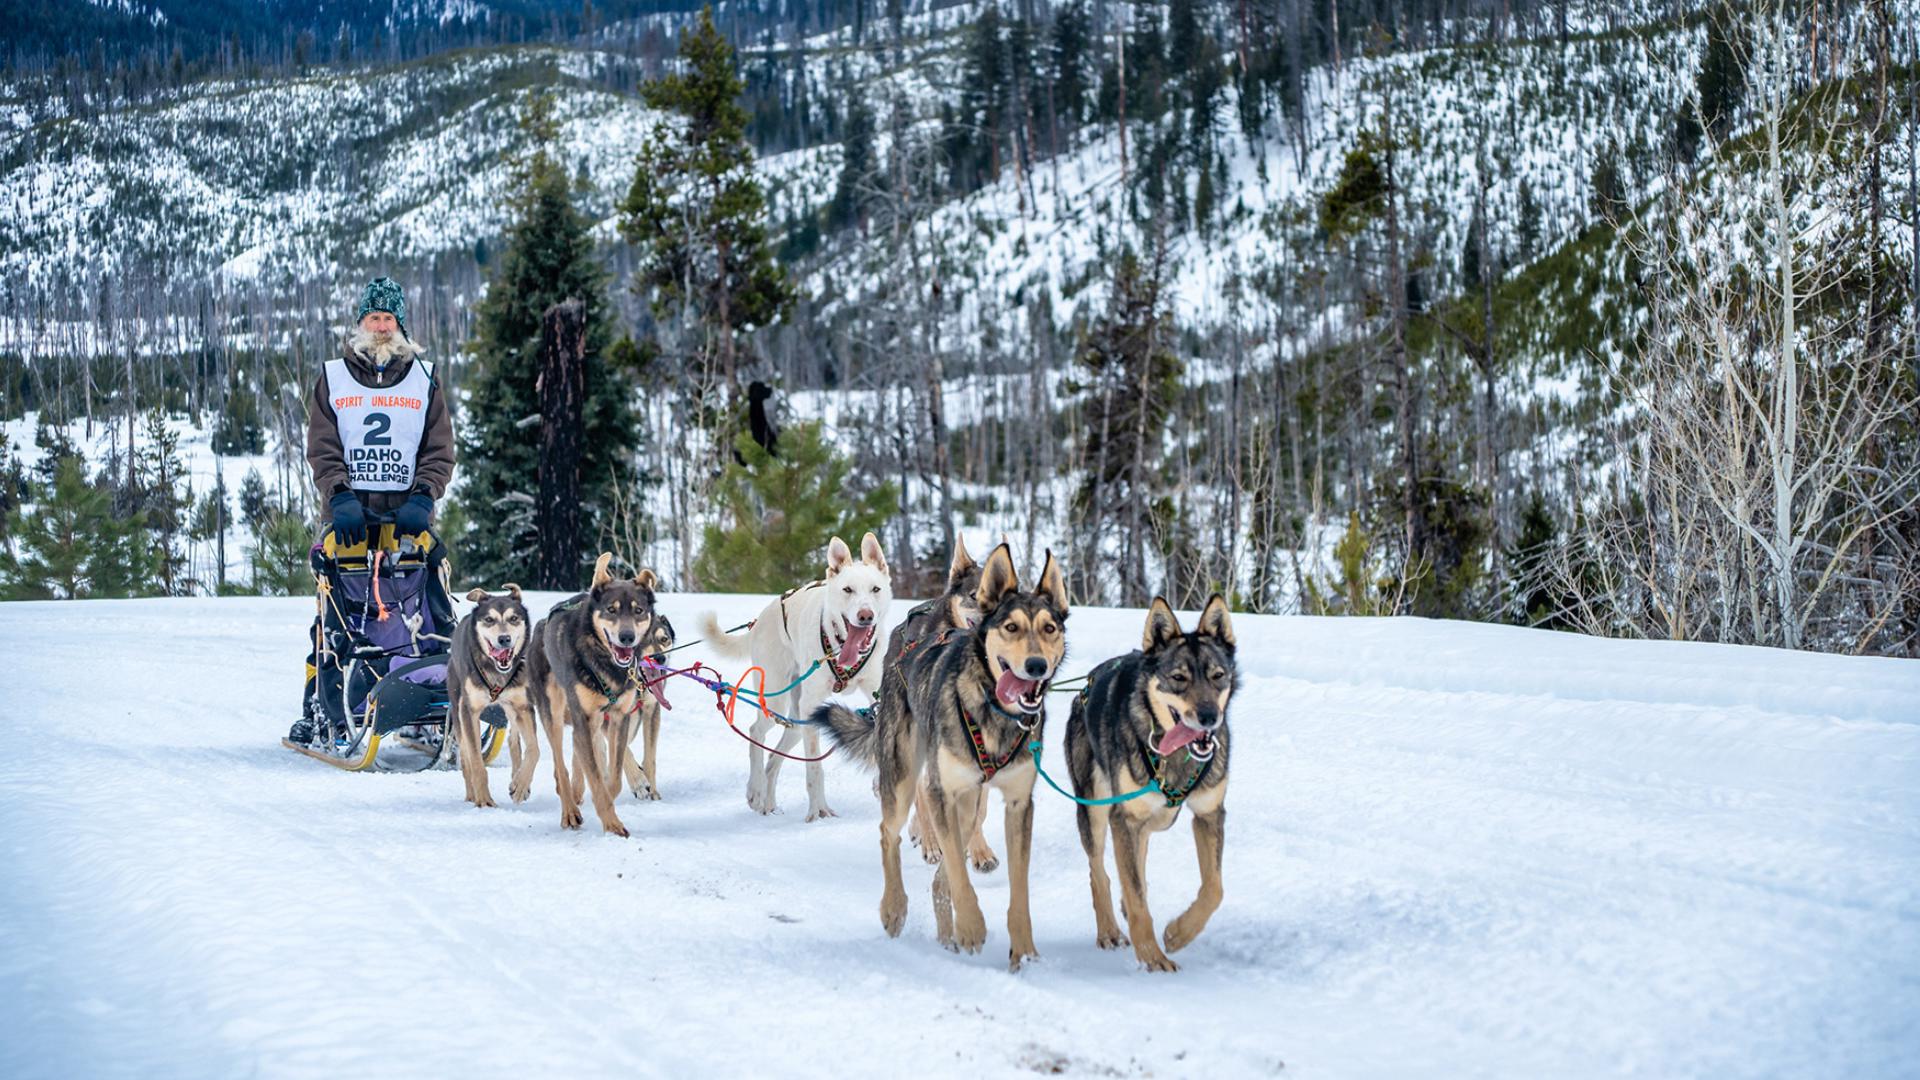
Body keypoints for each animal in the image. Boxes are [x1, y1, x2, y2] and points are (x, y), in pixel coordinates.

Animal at [449, 584, 533, 803]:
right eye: (489, 619)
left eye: (514, 618)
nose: (504, 639)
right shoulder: (469, 711)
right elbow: (476, 762)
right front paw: (484, 801)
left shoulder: (523, 706)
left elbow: (534, 749)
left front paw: (521, 786)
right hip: (458, 712)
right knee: (466, 756)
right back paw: (471, 795)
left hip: (511, 709)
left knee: (513, 740)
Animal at [529, 549, 664, 837]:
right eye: (611, 610)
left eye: (638, 610)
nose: (626, 637)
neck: (605, 665)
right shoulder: (582, 718)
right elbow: (593, 775)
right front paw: (612, 824)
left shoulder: (619, 718)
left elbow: (612, 779)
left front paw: (608, 806)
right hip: (554, 715)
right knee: (560, 767)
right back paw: (569, 812)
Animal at [698, 534, 890, 818]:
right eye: (847, 590)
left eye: (875, 589)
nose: (865, 615)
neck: (841, 649)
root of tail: (762, 617)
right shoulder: (812, 708)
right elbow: (814, 768)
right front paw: (819, 811)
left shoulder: (876, 693)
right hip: (777, 701)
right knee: (756, 733)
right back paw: (756, 790)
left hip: (798, 721)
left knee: (773, 759)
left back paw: (768, 801)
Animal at [817, 538, 1075, 968]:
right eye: (1010, 626)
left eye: (1049, 628)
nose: (1036, 666)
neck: (993, 710)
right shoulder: (942, 787)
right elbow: (952, 863)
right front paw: (969, 924)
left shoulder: (1017, 802)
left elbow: (1012, 881)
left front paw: (1022, 949)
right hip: (904, 773)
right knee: (890, 832)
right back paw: (896, 906)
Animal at [1059, 591, 1236, 972]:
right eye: (1179, 678)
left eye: (1217, 676)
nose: (1209, 717)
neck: (1175, 757)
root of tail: (1085, 685)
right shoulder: (1123, 817)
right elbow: (1136, 896)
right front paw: (1153, 957)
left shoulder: (1209, 814)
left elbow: (1214, 888)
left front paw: (1179, 933)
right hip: (1095, 811)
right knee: (1100, 872)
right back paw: (1110, 930)